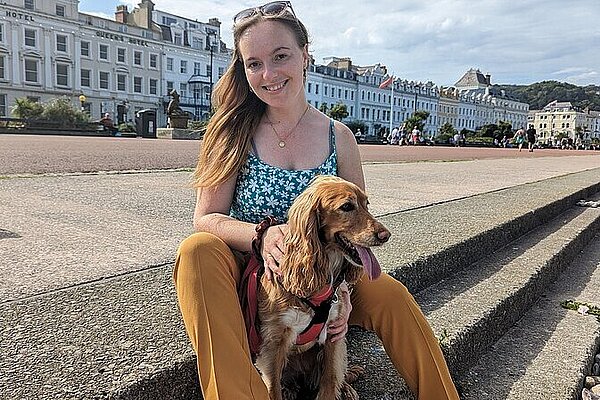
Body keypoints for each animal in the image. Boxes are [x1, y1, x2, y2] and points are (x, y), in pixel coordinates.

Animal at [255, 176, 392, 400]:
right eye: (347, 207)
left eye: (367, 204)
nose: (385, 235)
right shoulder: (273, 342)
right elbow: (273, 389)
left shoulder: (333, 334)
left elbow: (330, 380)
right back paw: (290, 389)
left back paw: (347, 387)